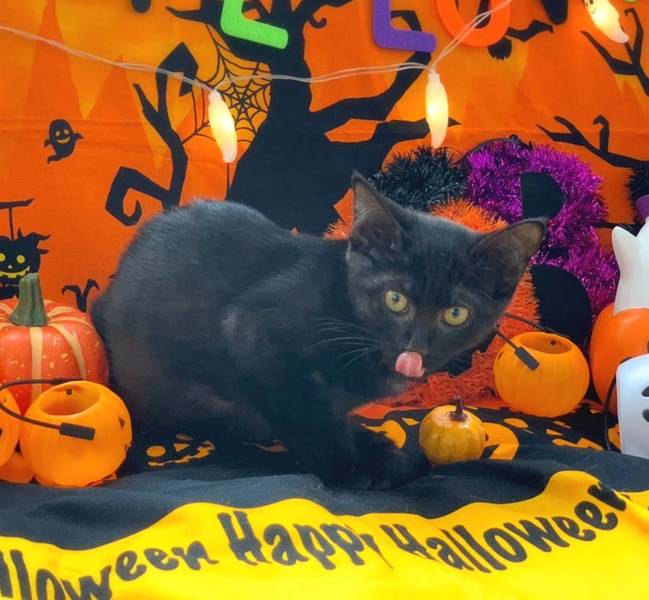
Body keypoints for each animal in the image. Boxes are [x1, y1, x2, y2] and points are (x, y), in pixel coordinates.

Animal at [92, 173, 545, 489]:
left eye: (455, 313)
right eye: (395, 299)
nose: (415, 347)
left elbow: (325, 412)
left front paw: (368, 447)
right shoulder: (254, 333)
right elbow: (306, 413)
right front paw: (350, 469)